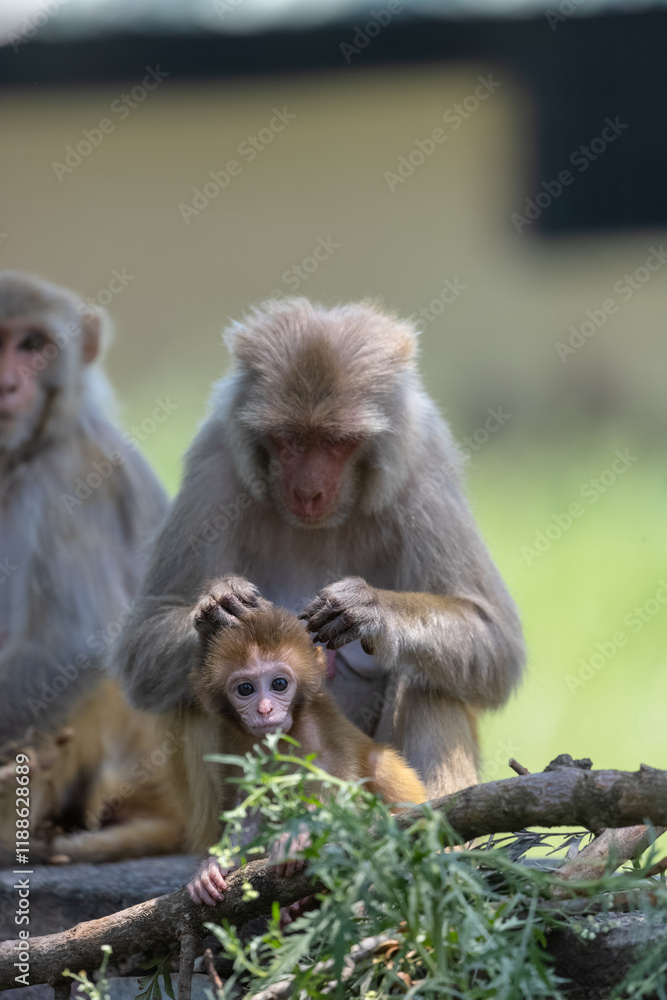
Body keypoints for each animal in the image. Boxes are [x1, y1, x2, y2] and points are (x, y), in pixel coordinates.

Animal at [114, 297, 525, 805]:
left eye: (336, 442)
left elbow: (492, 637)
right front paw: (216, 610)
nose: (308, 492)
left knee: (430, 679)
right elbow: (145, 641)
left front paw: (371, 609)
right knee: (188, 691)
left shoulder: (422, 464)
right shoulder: (215, 465)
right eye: (290, 440)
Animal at [183, 599, 427, 906]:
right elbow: (248, 806)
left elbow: (343, 798)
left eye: (279, 684)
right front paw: (215, 864)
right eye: (246, 689)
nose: (265, 710)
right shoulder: (236, 742)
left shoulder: (319, 733)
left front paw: (300, 835)